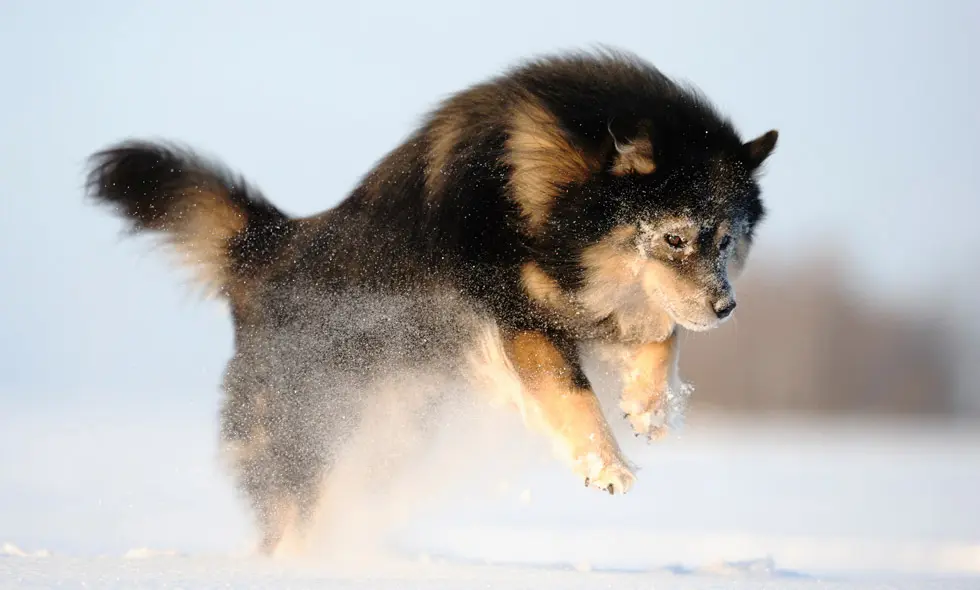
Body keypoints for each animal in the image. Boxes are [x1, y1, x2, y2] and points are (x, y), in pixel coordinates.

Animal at [84, 49, 776, 556]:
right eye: (674, 236)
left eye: (725, 239)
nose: (727, 308)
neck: (540, 190)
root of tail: (267, 248)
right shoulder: (516, 315)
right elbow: (572, 387)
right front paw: (605, 464)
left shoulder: (605, 300)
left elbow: (665, 332)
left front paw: (649, 406)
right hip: (308, 427)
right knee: (287, 511)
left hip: (390, 425)